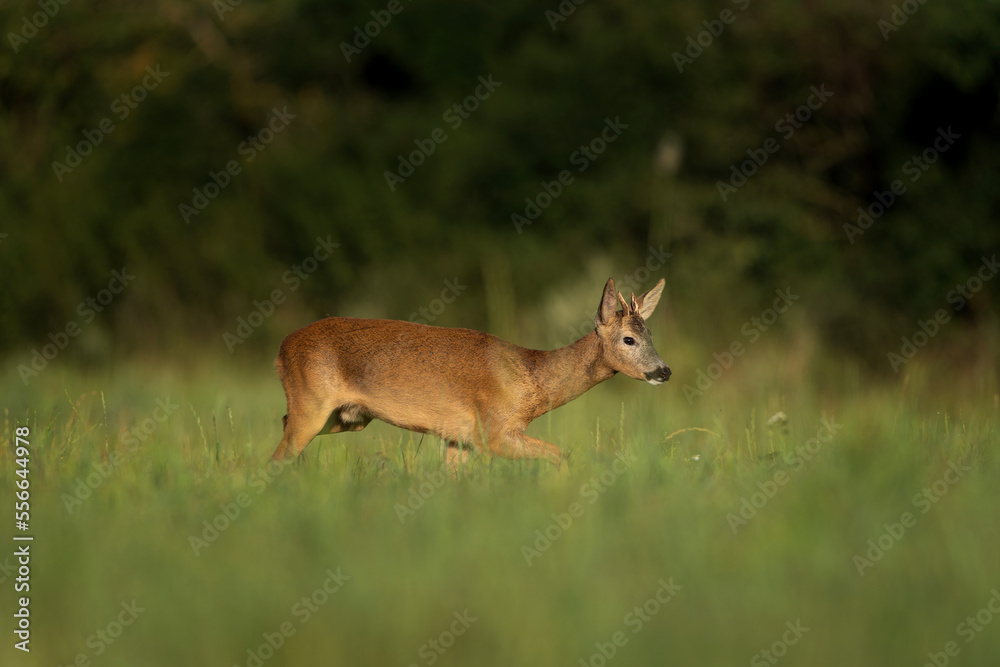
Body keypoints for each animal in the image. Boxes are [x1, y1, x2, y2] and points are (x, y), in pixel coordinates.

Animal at [270, 280, 668, 468]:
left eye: (652, 334)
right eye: (629, 339)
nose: (664, 371)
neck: (531, 377)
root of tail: (280, 348)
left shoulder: (457, 438)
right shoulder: (491, 432)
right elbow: (560, 455)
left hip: (348, 417)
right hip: (312, 402)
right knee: (278, 454)